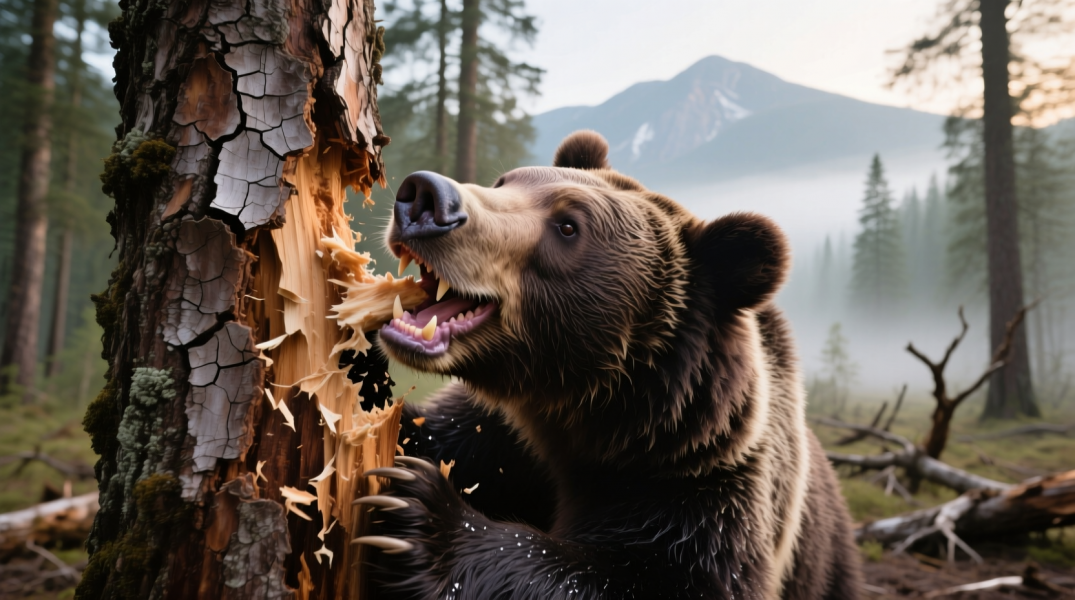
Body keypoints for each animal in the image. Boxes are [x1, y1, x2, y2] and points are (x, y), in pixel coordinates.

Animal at [353, 130, 863, 599]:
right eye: (505, 181)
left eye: (568, 226)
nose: (426, 196)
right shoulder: (499, 433)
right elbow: (432, 429)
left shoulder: (699, 493)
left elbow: (646, 579)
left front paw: (417, 515)